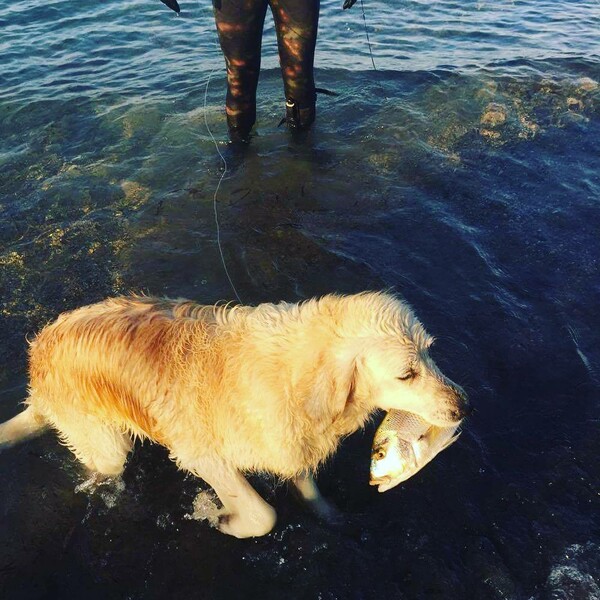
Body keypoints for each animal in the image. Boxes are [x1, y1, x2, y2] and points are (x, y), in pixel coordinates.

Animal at [0, 292, 468, 540]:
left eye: (431, 351)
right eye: (407, 374)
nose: (466, 406)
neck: (297, 378)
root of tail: (39, 355)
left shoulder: (289, 441)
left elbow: (307, 487)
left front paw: (330, 516)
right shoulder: (203, 456)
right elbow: (264, 515)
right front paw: (224, 519)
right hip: (103, 443)